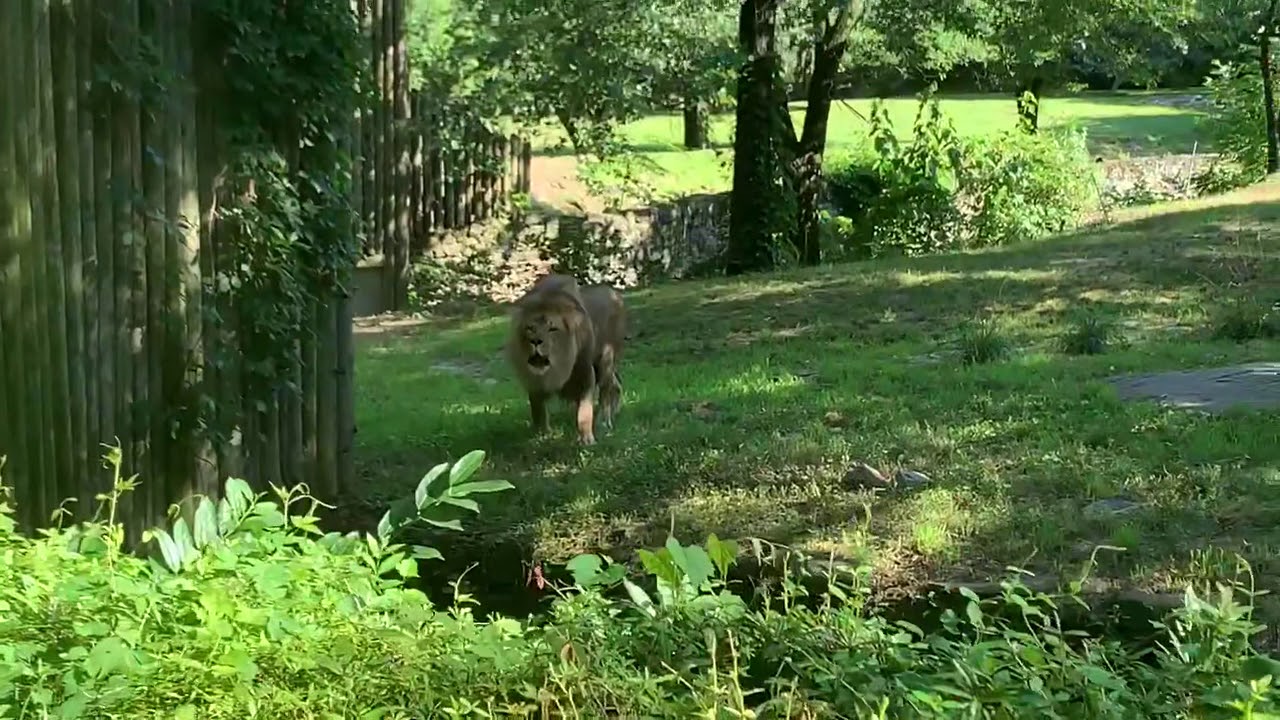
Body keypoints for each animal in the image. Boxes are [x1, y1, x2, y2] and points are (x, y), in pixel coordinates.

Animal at [505, 273, 628, 445]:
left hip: (606, 360)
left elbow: (584, 411)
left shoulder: (585, 372)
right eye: (530, 328)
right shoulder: (535, 383)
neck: (556, 370)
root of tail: (615, 294)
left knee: (606, 392)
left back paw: (604, 422)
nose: (535, 341)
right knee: (616, 384)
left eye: (552, 329)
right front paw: (542, 436)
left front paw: (587, 440)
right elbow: (538, 410)